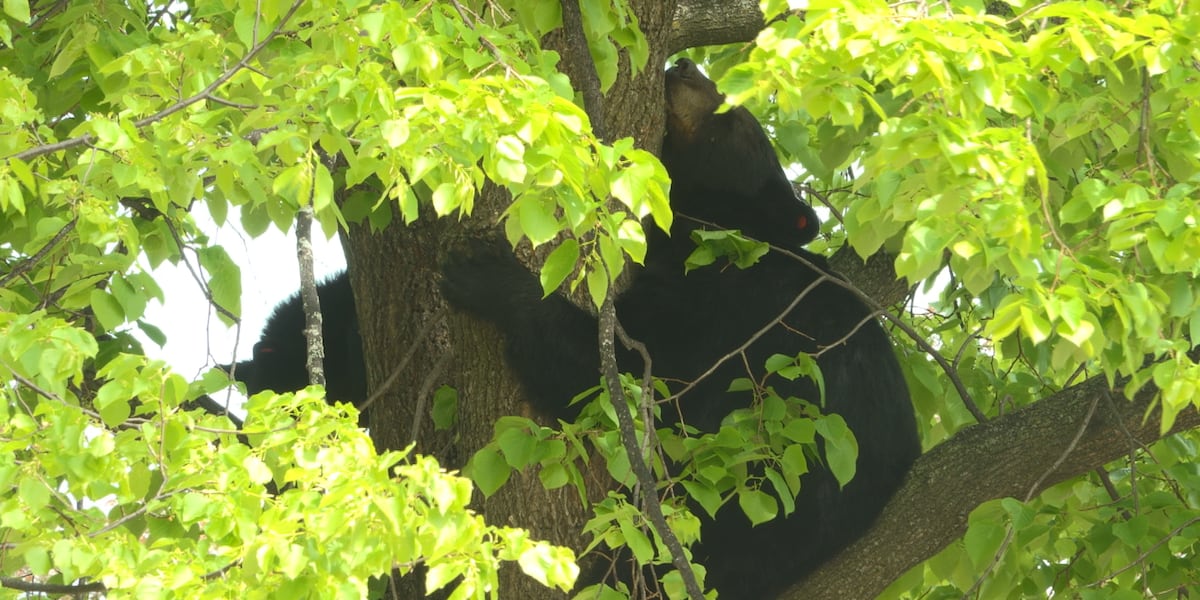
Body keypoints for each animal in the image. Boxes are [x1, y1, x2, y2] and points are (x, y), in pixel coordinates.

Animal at [442, 57, 920, 598]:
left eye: (733, 116)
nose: (685, 66)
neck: (717, 235)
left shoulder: (730, 305)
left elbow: (630, 376)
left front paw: (484, 274)